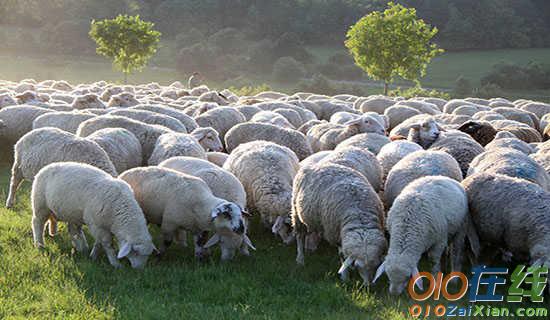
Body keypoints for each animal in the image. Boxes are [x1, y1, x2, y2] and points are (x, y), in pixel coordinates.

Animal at [119, 166, 253, 262]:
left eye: (241, 215)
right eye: (227, 215)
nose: (241, 229)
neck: (201, 204)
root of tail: (125, 172)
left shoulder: (199, 228)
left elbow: (200, 243)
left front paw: (199, 260)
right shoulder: (169, 224)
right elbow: (167, 242)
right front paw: (159, 256)